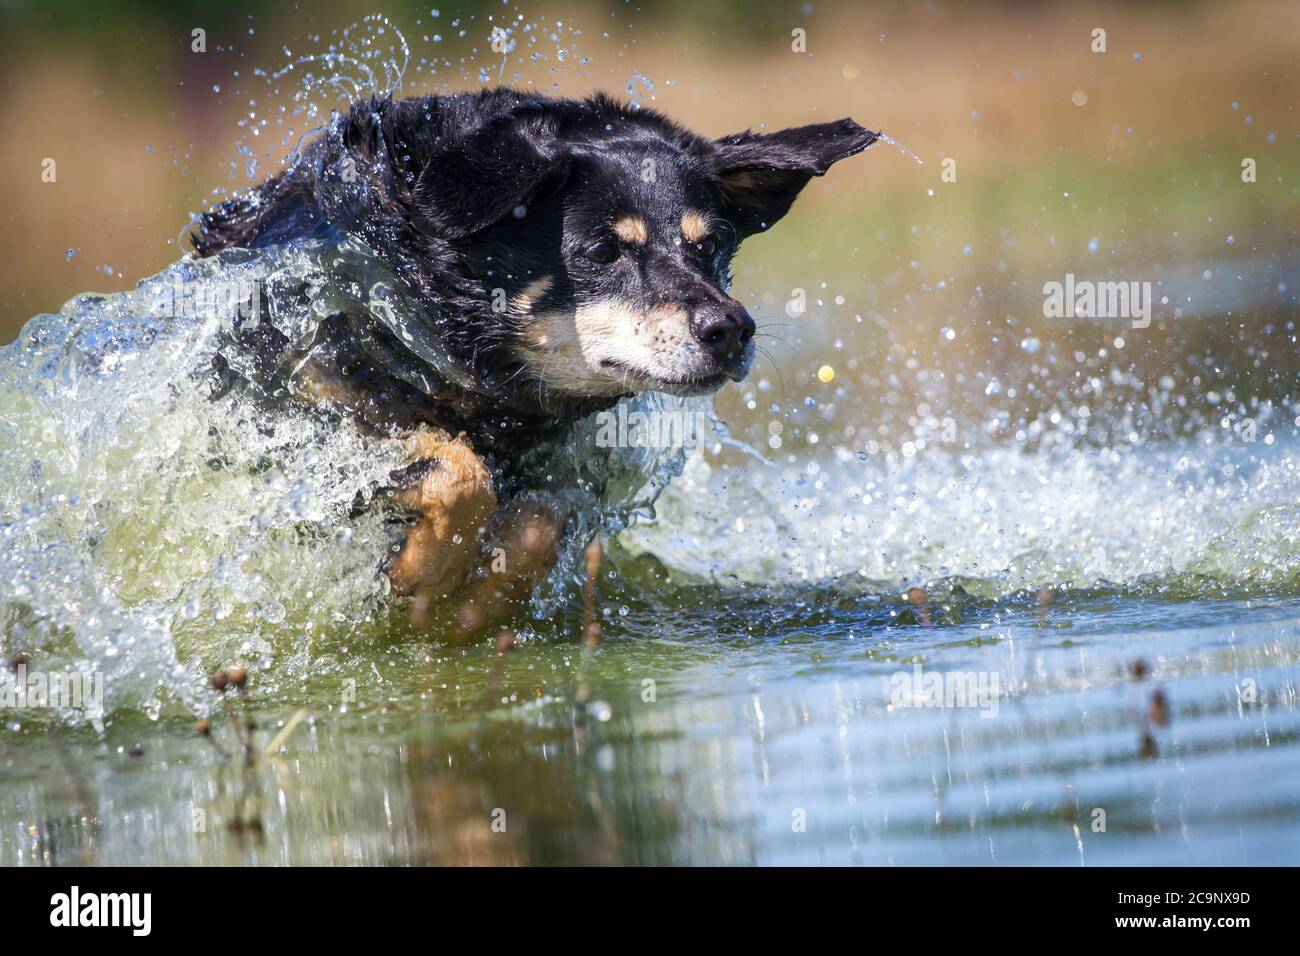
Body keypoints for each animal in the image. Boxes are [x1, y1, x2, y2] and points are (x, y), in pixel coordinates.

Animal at [192, 89, 878, 639]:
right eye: (602, 250)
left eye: (708, 244)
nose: (730, 330)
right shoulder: (289, 399)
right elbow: (457, 469)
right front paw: (421, 574)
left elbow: (542, 518)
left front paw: (474, 602)